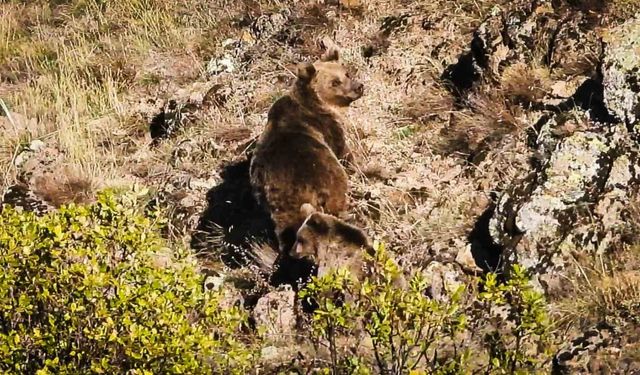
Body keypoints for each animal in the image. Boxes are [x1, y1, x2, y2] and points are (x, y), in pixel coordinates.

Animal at [249, 44, 362, 264]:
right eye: (335, 82)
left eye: (346, 72)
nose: (358, 87)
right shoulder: (327, 127)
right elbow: (344, 152)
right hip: (325, 174)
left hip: (277, 208)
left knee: (286, 232)